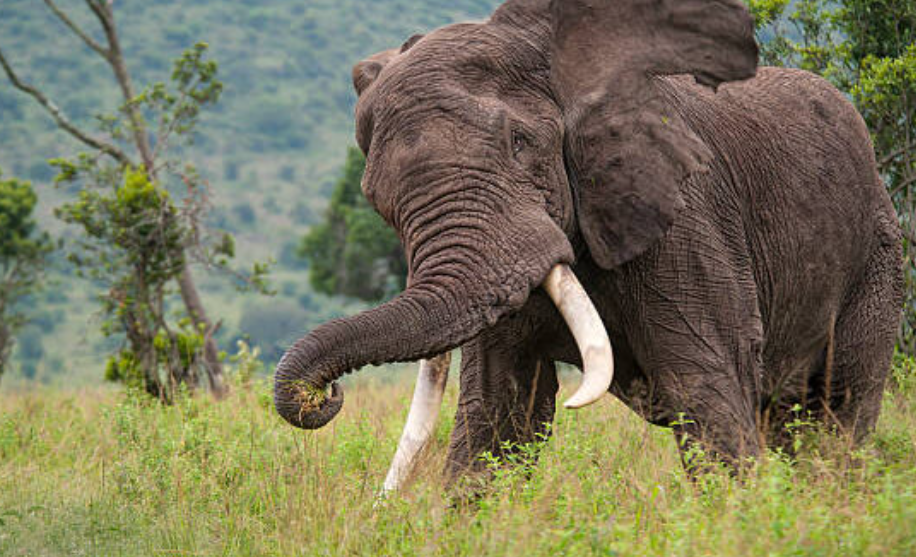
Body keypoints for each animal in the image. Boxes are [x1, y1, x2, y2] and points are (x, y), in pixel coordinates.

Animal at [274, 0, 904, 492]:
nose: (321, 396)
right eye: (377, 199)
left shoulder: (686, 219)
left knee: (839, 410)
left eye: (521, 144)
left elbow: (705, 387)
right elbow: (497, 413)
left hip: (878, 254)